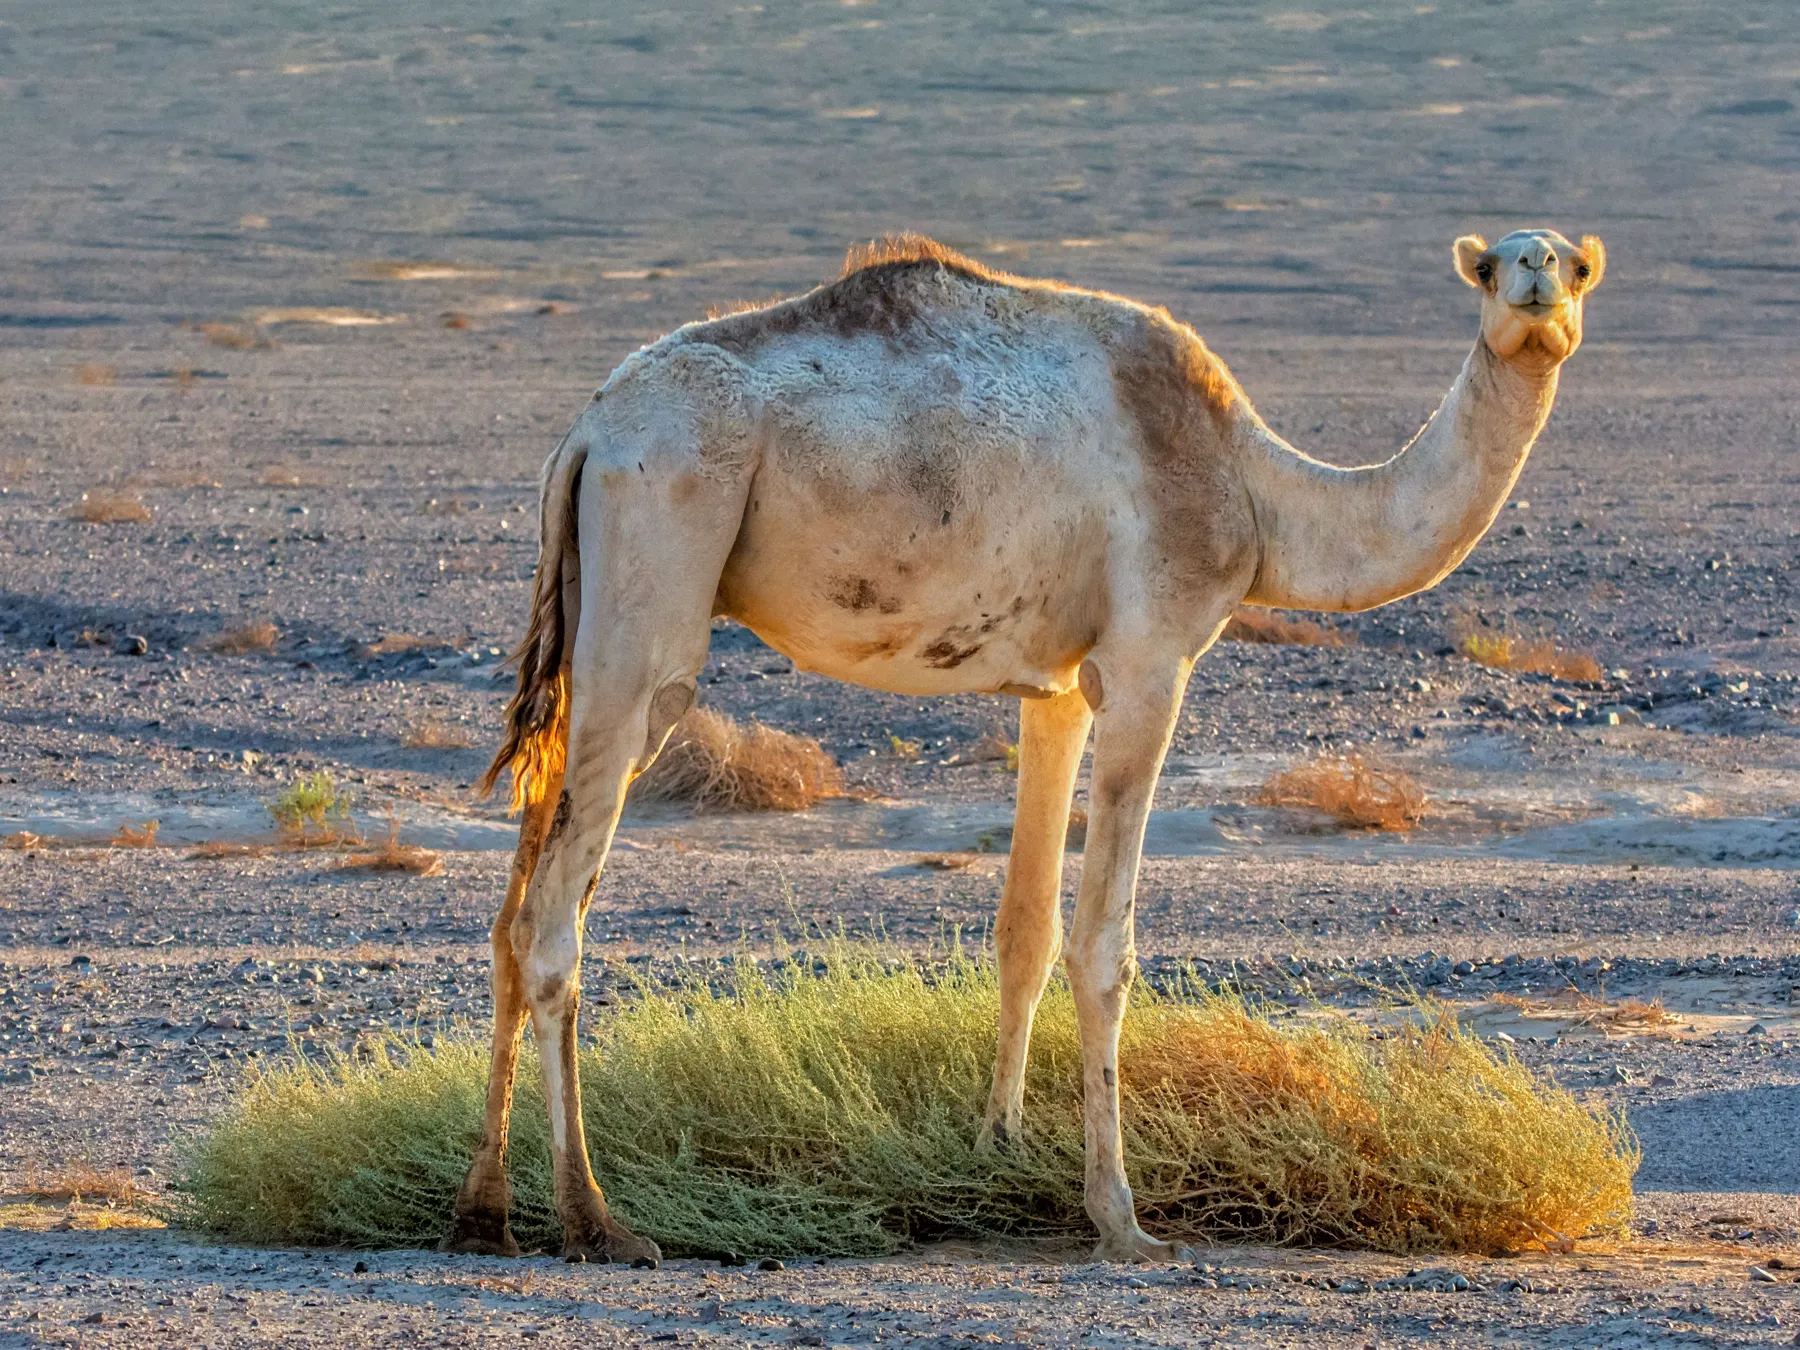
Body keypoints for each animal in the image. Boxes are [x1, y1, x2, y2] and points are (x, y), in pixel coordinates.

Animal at [443, 226, 1606, 1265]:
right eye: (1493, 263)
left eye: (1576, 261)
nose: (1538, 287)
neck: (1253, 488)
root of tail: (589, 432)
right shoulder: (1149, 660)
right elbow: (1103, 947)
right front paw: (1122, 1221)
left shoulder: (1059, 689)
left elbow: (1025, 931)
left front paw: (994, 1151)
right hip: (659, 575)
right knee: (555, 920)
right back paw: (595, 1221)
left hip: (587, 623)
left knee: (512, 909)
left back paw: (484, 1210)